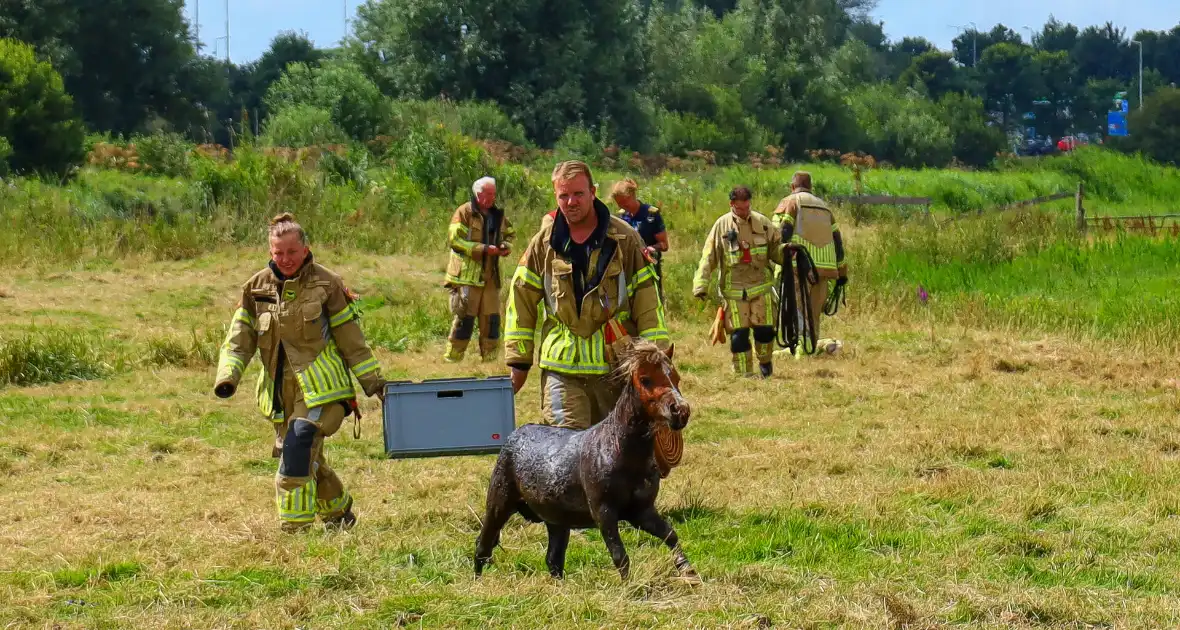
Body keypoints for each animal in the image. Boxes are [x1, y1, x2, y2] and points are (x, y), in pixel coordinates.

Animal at [474, 338, 696, 581]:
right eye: (645, 379)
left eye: (675, 377)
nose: (680, 411)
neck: (618, 450)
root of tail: (515, 435)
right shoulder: (604, 513)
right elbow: (620, 556)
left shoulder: (642, 512)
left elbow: (670, 534)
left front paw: (688, 571)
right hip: (499, 504)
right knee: (483, 546)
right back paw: (477, 581)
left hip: (556, 521)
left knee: (553, 559)